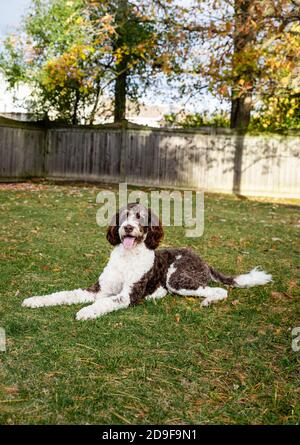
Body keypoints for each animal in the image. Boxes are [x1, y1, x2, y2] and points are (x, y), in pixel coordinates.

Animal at [22, 203, 274, 320]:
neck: (126, 258)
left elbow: (106, 303)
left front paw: (87, 311)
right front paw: (36, 300)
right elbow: (63, 294)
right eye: (123, 216)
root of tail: (203, 260)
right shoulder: (98, 290)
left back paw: (207, 301)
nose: (127, 228)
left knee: (218, 291)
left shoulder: (127, 295)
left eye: (139, 217)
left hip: (177, 278)